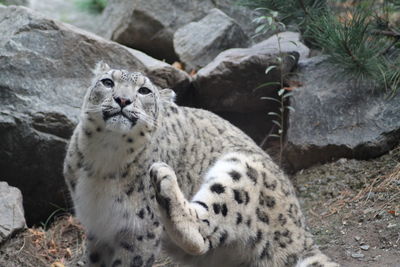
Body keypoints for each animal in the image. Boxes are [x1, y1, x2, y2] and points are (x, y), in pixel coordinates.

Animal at [64, 62, 340, 267]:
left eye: (144, 91)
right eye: (107, 82)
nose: (122, 100)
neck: (106, 157)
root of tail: (302, 234)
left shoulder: (140, 229)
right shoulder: (100, 229)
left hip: (240, 171)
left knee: (203, 231)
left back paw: (163, 178)